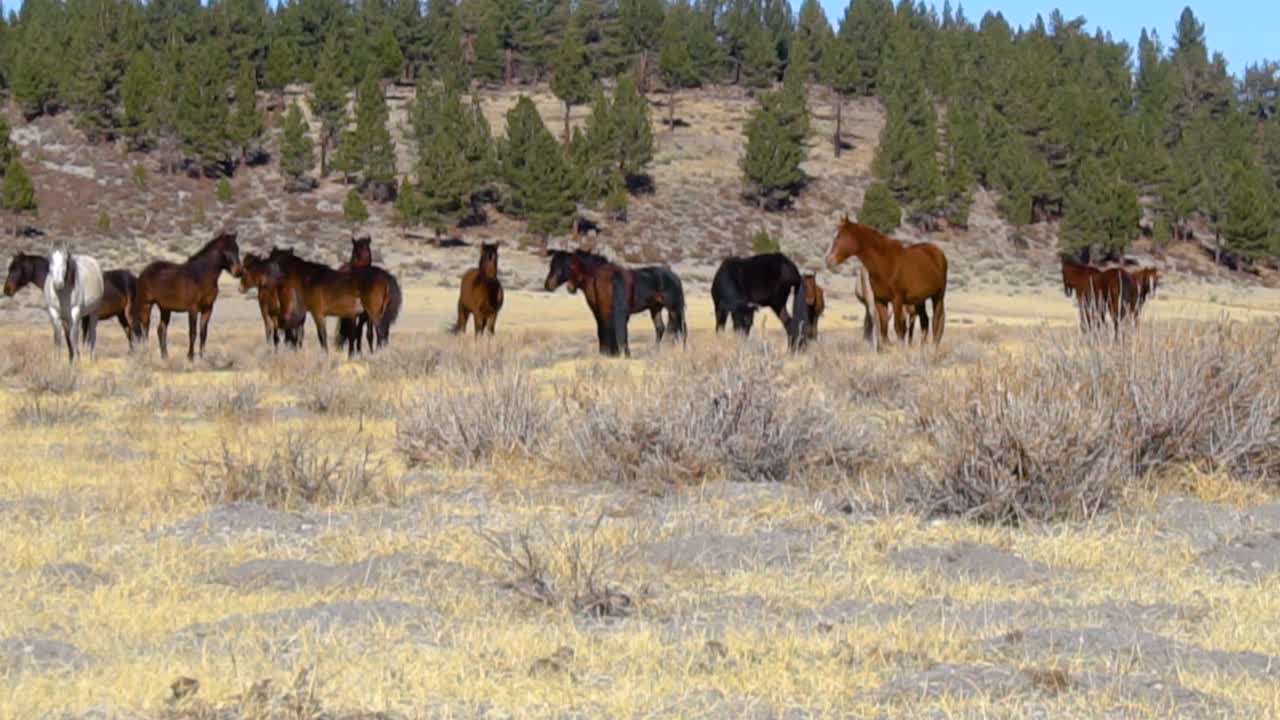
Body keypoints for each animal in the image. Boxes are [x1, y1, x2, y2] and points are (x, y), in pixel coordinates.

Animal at [7, 253, 138, 348]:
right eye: (10, 268)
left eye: (16, 269)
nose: (6, 289)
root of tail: (135, 278)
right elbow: (70, 343)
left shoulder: (82, 318)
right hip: (121, 315)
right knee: (131, 336)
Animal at [133, 231, 242, 360]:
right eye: (226, 250)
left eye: (237, 249)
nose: (238, 272)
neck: (201, 275)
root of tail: (144, 272)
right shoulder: (193, 309)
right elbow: (193, 332)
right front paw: (190, 357)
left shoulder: (208, 308)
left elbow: (203, 333)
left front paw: (202, 356)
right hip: (146, 305)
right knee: (144, 328)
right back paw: (146, 354)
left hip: (165, 308)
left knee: (161, 329)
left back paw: (165, 357)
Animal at [269, 247, 401, 354]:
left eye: (275, 263)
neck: (310, 279)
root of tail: (385, 277)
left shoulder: (317, 313)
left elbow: (322, 336)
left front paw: (325, 355)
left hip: (373, 313)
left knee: (380, 333)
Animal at [545, 250, 687, 347]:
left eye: (564, 266)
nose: (548, 285)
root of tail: (674, 276)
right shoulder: (600, 312)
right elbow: (604, 332)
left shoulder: (616, 312)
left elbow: (618, 333)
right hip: (655, 308)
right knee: (661, 329)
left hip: (674, 309)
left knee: (680, 329)